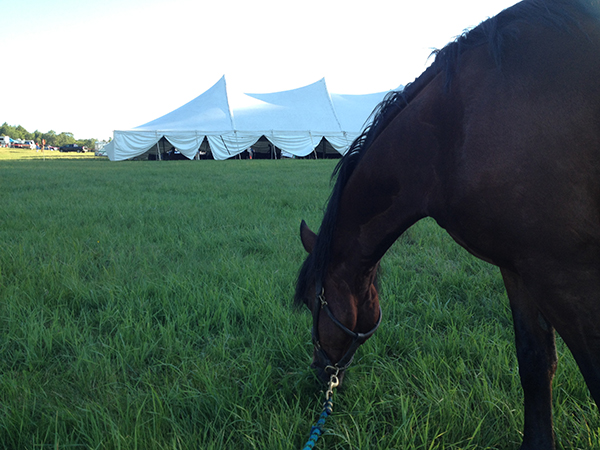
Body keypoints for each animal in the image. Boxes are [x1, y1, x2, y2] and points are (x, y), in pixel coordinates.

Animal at [292, 1, 600, 448]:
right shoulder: (519, 267)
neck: (453, 128)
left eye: (311, 302)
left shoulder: (563, 274)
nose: (319, 373)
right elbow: (535, 362)